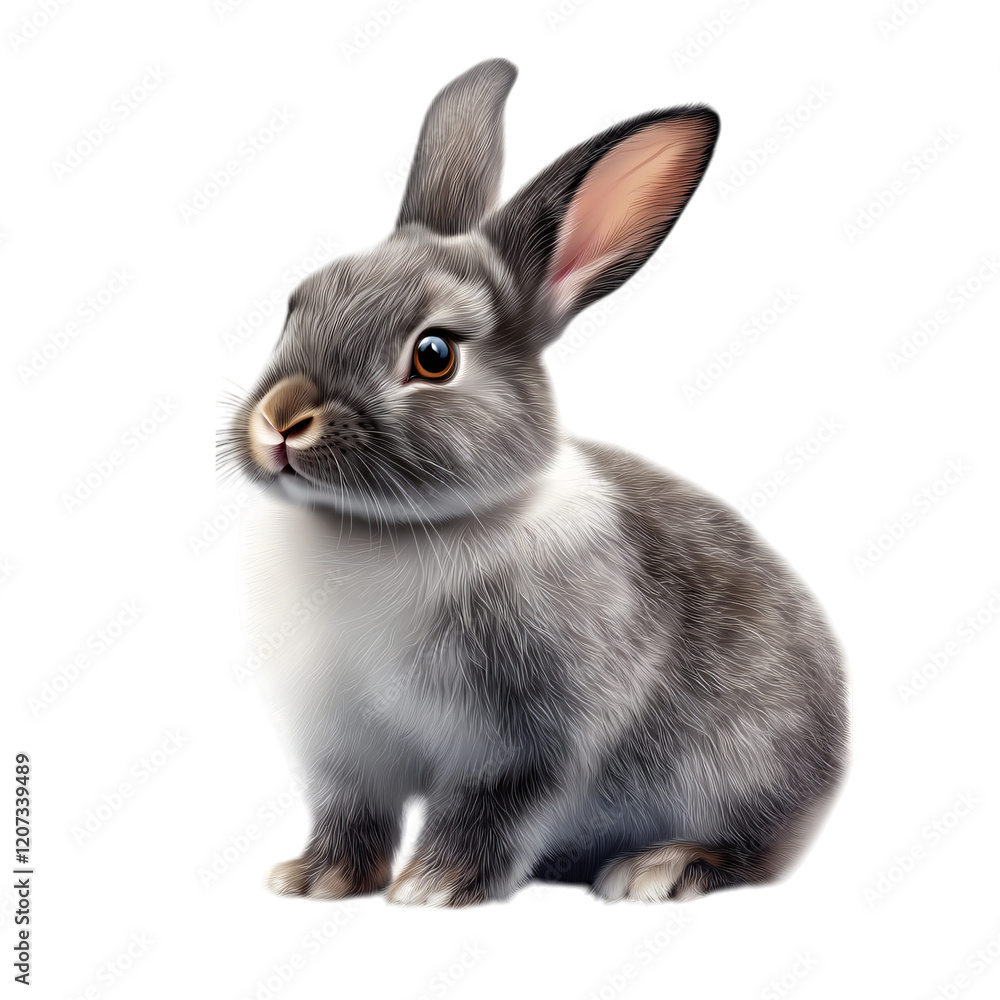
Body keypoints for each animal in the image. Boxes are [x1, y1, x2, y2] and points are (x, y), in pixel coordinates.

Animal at [220, 57, 849, 907]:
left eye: (434, 355)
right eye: (298, 304)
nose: (281, 420)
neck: (388, 531)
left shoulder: (525, 740)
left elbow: (490, 808)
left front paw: (434, 887)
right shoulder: (347, 747)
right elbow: (352, 810)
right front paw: (315, 880)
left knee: (757, 850)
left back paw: (657, 869)